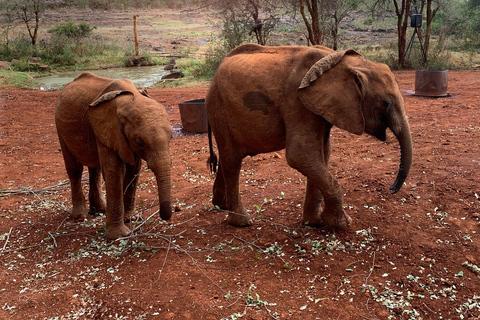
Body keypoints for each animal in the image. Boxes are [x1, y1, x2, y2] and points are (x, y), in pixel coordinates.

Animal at [55, 71, 173, 239]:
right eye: (140, 142)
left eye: (171, 138)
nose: (164, 217)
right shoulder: (108, 129)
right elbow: (114, 171)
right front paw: (118, 235)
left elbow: (133, 170)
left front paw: (131, 218)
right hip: (59, 126)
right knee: (75, 169)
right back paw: (80, 216)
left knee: (95, 168)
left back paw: (100, 209)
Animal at [206, 44, 412, 228]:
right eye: (386, 103)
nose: (391, 188)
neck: (341, 62)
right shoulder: (297, 101)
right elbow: (300, 155)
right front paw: (342, 224)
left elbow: (322, 154)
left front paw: (314, 223)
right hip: (220, 110)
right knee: (232, 161)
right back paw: (242, 222)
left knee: (227, 159)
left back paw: (220, 205)